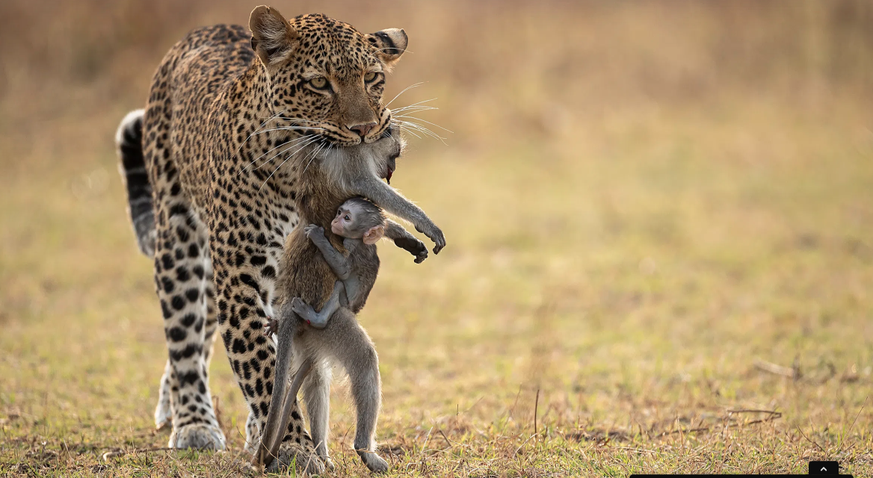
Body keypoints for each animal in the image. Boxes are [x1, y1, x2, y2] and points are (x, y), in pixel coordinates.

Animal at [250, 128, 442, 474]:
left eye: (347, 215)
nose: (337, 222)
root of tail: (291, 309)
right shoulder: (350, 168)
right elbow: (368, 191)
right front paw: (420, 224)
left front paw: (404, 236)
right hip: (332, 323)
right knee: (362, 359)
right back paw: (364, 450)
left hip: (308, 335)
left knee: (315, 377)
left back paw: (322, 453)